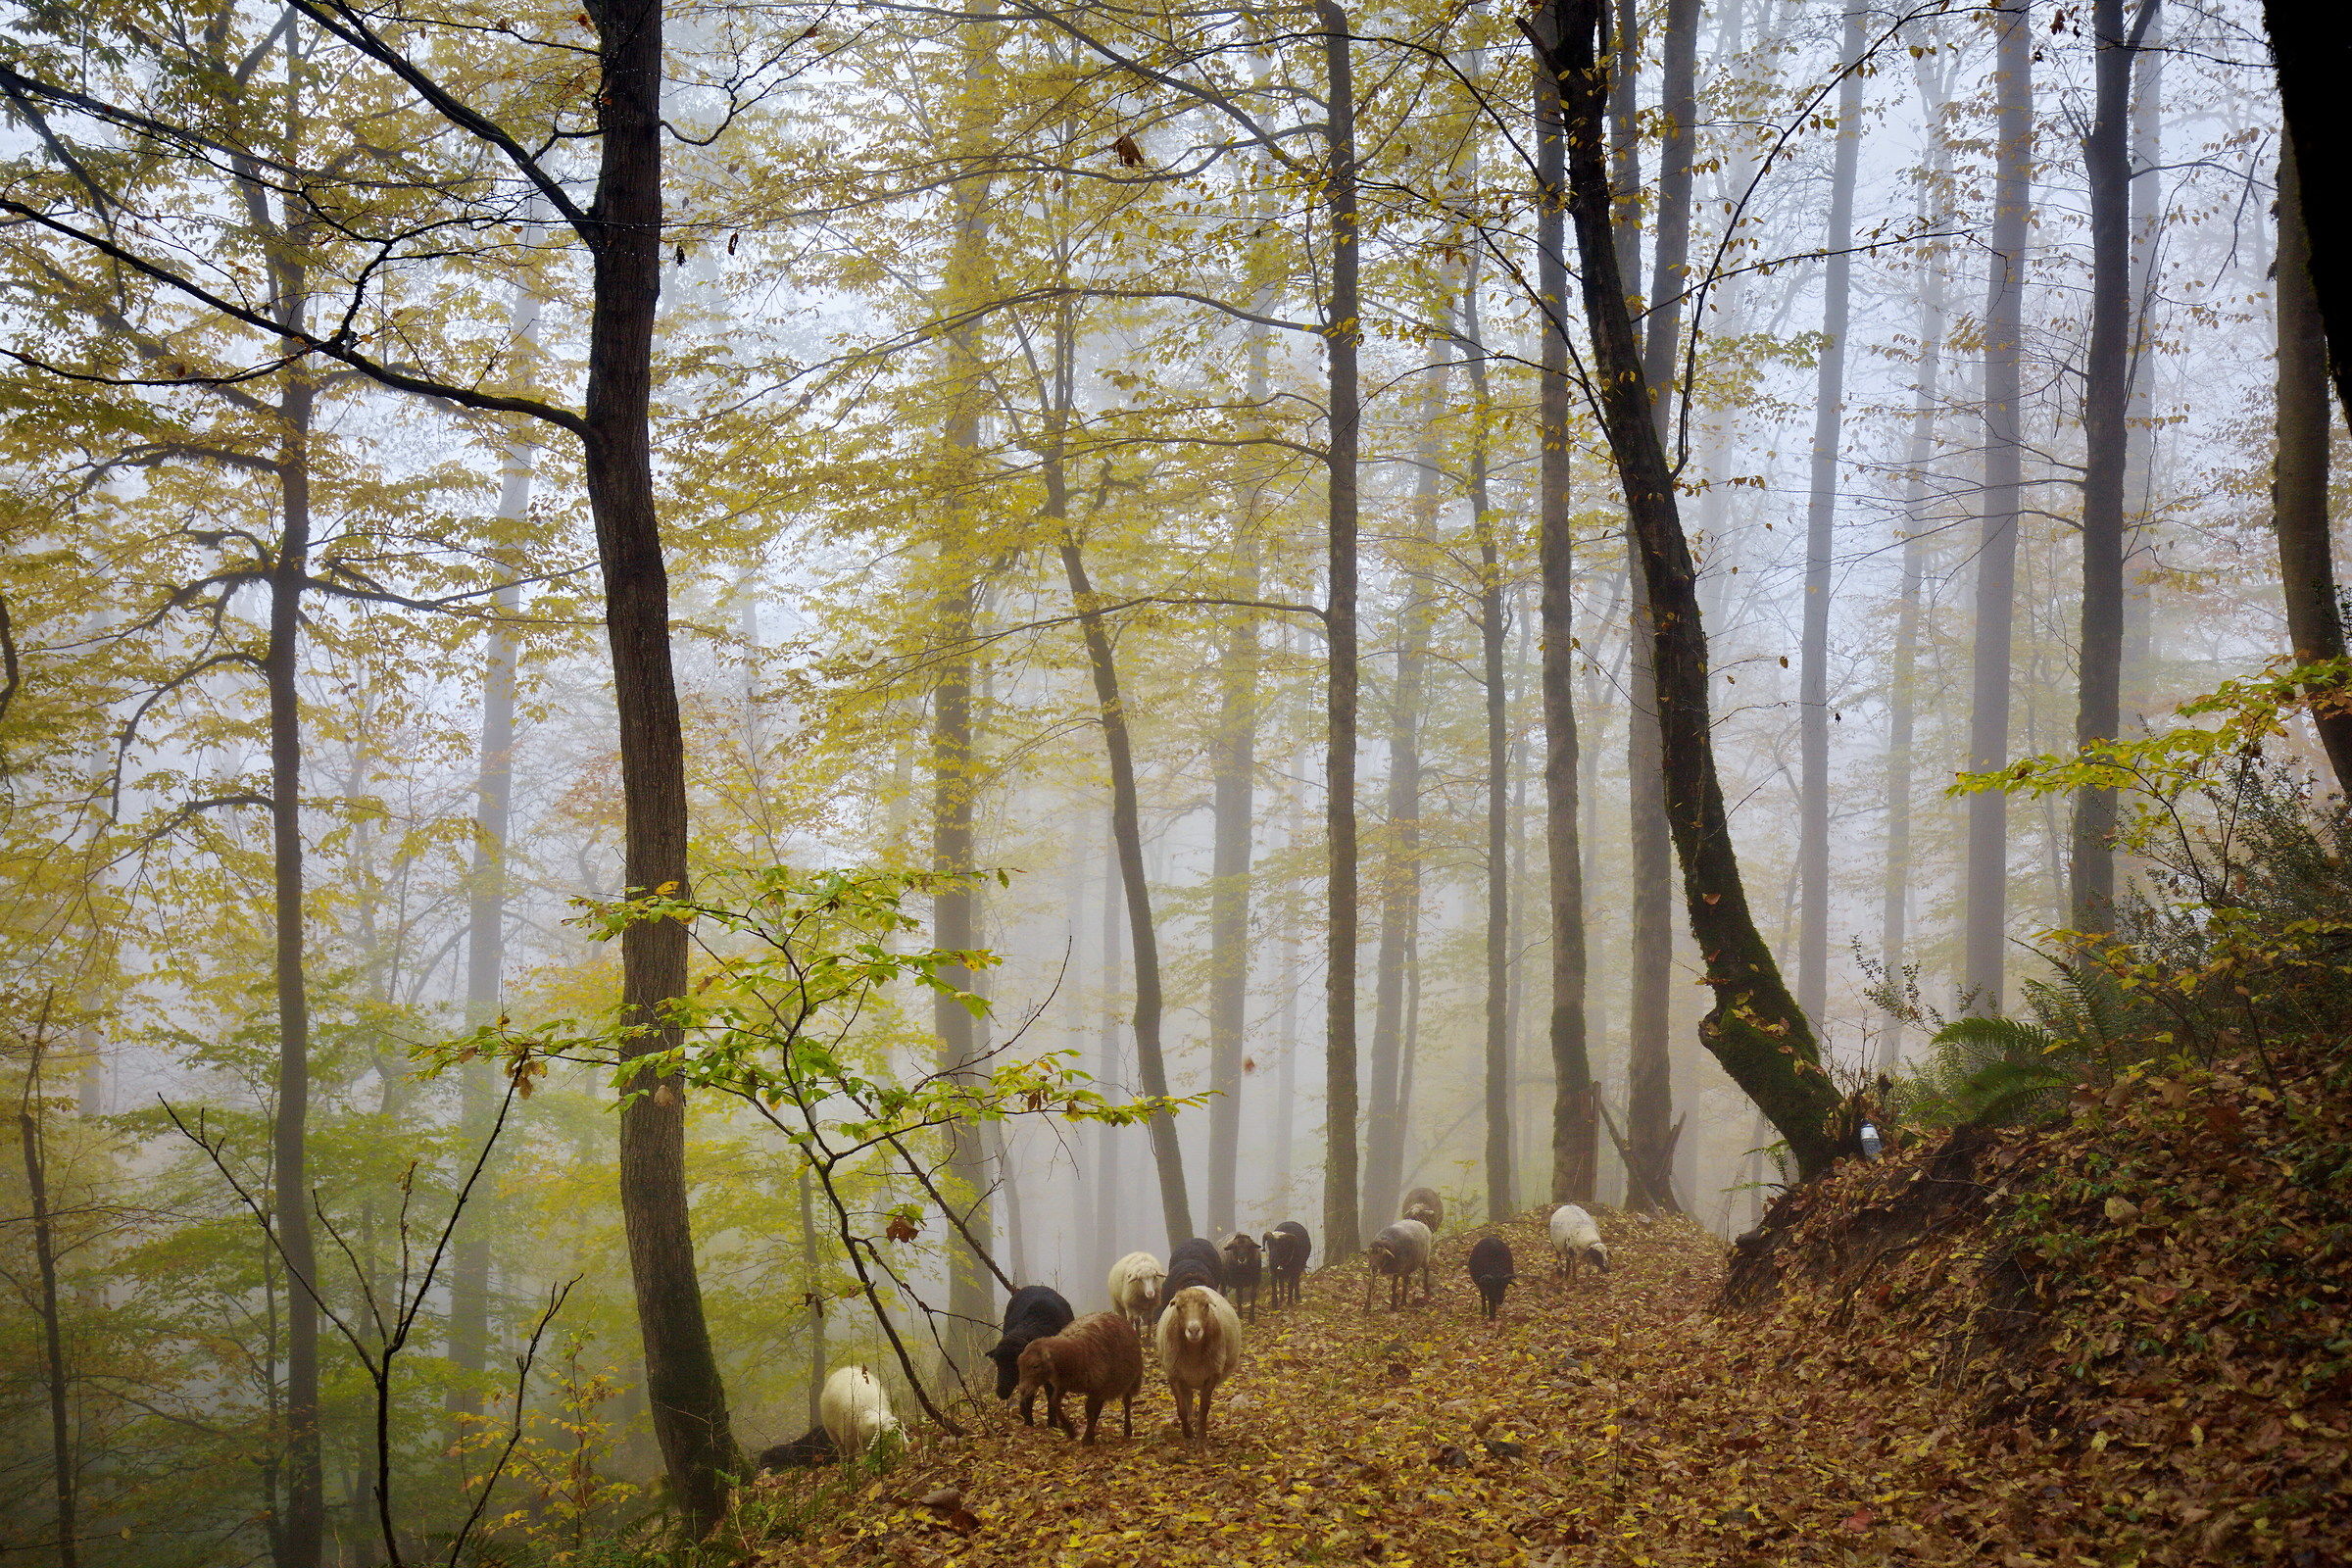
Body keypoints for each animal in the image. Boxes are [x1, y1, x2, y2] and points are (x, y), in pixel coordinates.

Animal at [1011, 1311, 1143, 1444]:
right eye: (1019, 1365)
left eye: (1035, 1366)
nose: (1022, 1390)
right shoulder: (1063, 1384)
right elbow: (1054, 1403)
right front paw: (1071, 1431)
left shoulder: (1096, 1386)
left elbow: (1088, 1409)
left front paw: (1087, 1439)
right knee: (1099, 1407)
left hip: (1131, 1379)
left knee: (1127, 1403)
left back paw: (1127, 1430)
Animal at [1155, 1284, 1243, 1448]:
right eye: (1179, 1307)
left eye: (1206, 1306)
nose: (1194, 1330)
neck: (1193, 1351)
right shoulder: (1173, 1375)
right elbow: (1181, 1408)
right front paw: (1188, 1433)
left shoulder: (1212, 1374)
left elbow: (1204, 1408)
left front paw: (1201, 1439)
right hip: (1184, 1377)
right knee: (1188, 1398)